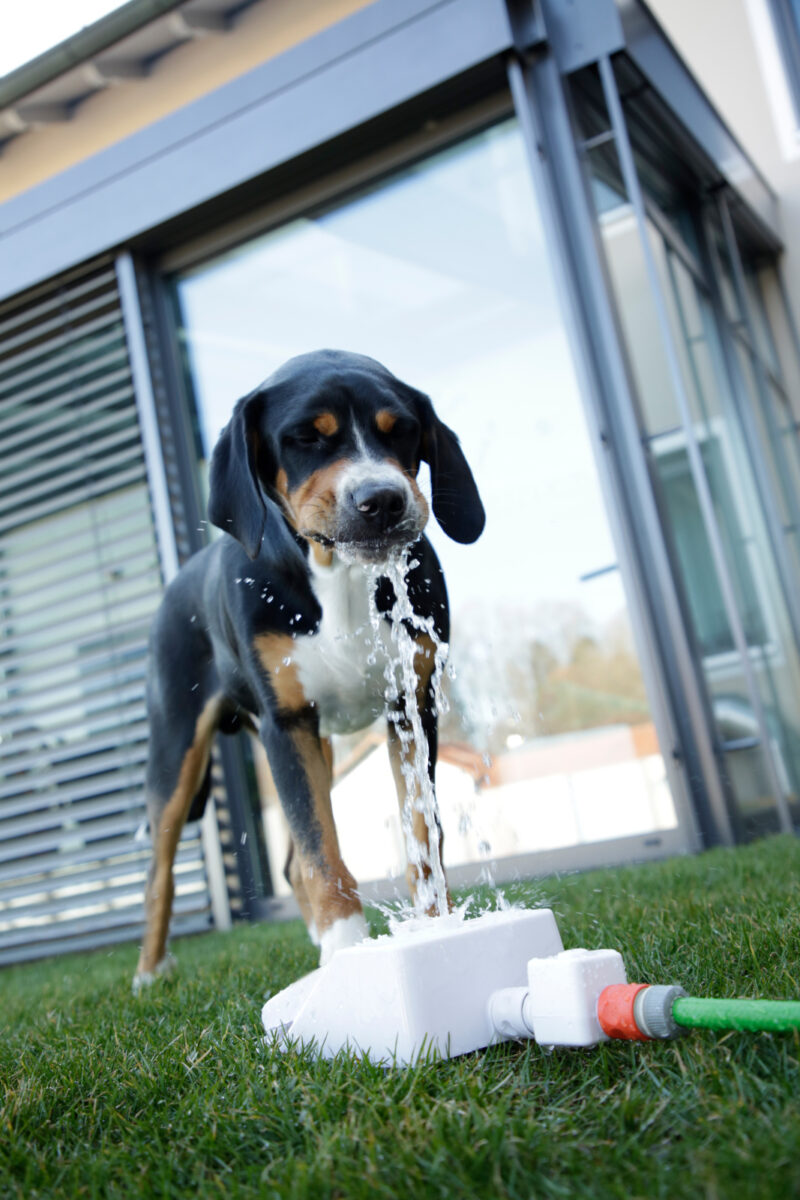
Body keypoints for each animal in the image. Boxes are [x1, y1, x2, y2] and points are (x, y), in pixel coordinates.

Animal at [134, 348, 484, 993]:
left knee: (291, 862)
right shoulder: (288, 724)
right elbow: (322, 851)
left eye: (402, 430)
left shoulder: (412, 705)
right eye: (305, 437)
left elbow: (421, 831)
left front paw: (436, 928)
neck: (340, 576)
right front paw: (346, 947)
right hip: (175, 752)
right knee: (159, 874)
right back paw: (150, 972)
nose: (382, 499)